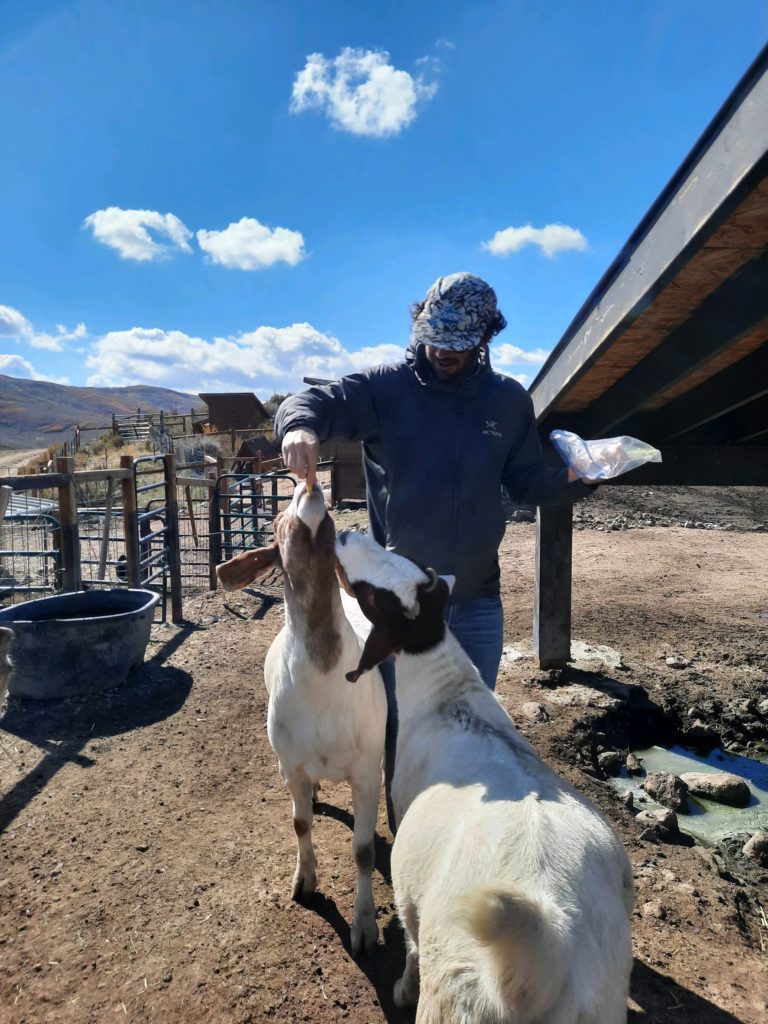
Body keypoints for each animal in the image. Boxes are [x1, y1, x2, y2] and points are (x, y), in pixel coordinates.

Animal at [217, 483, 387, 954]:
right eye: (276, 521)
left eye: (329, 525)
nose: (308, 487)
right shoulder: (291, 764)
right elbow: (299, 823)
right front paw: (304, 882)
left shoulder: (366, 771)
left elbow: (363, 851)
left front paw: (365, 927)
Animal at [337, 532, 638, 1019]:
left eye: (377, 597)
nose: (345, 534)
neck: (449, 696)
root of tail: (548, 961)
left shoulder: (408, 881)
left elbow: (412, 941)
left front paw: (402, 988)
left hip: (453, 999)